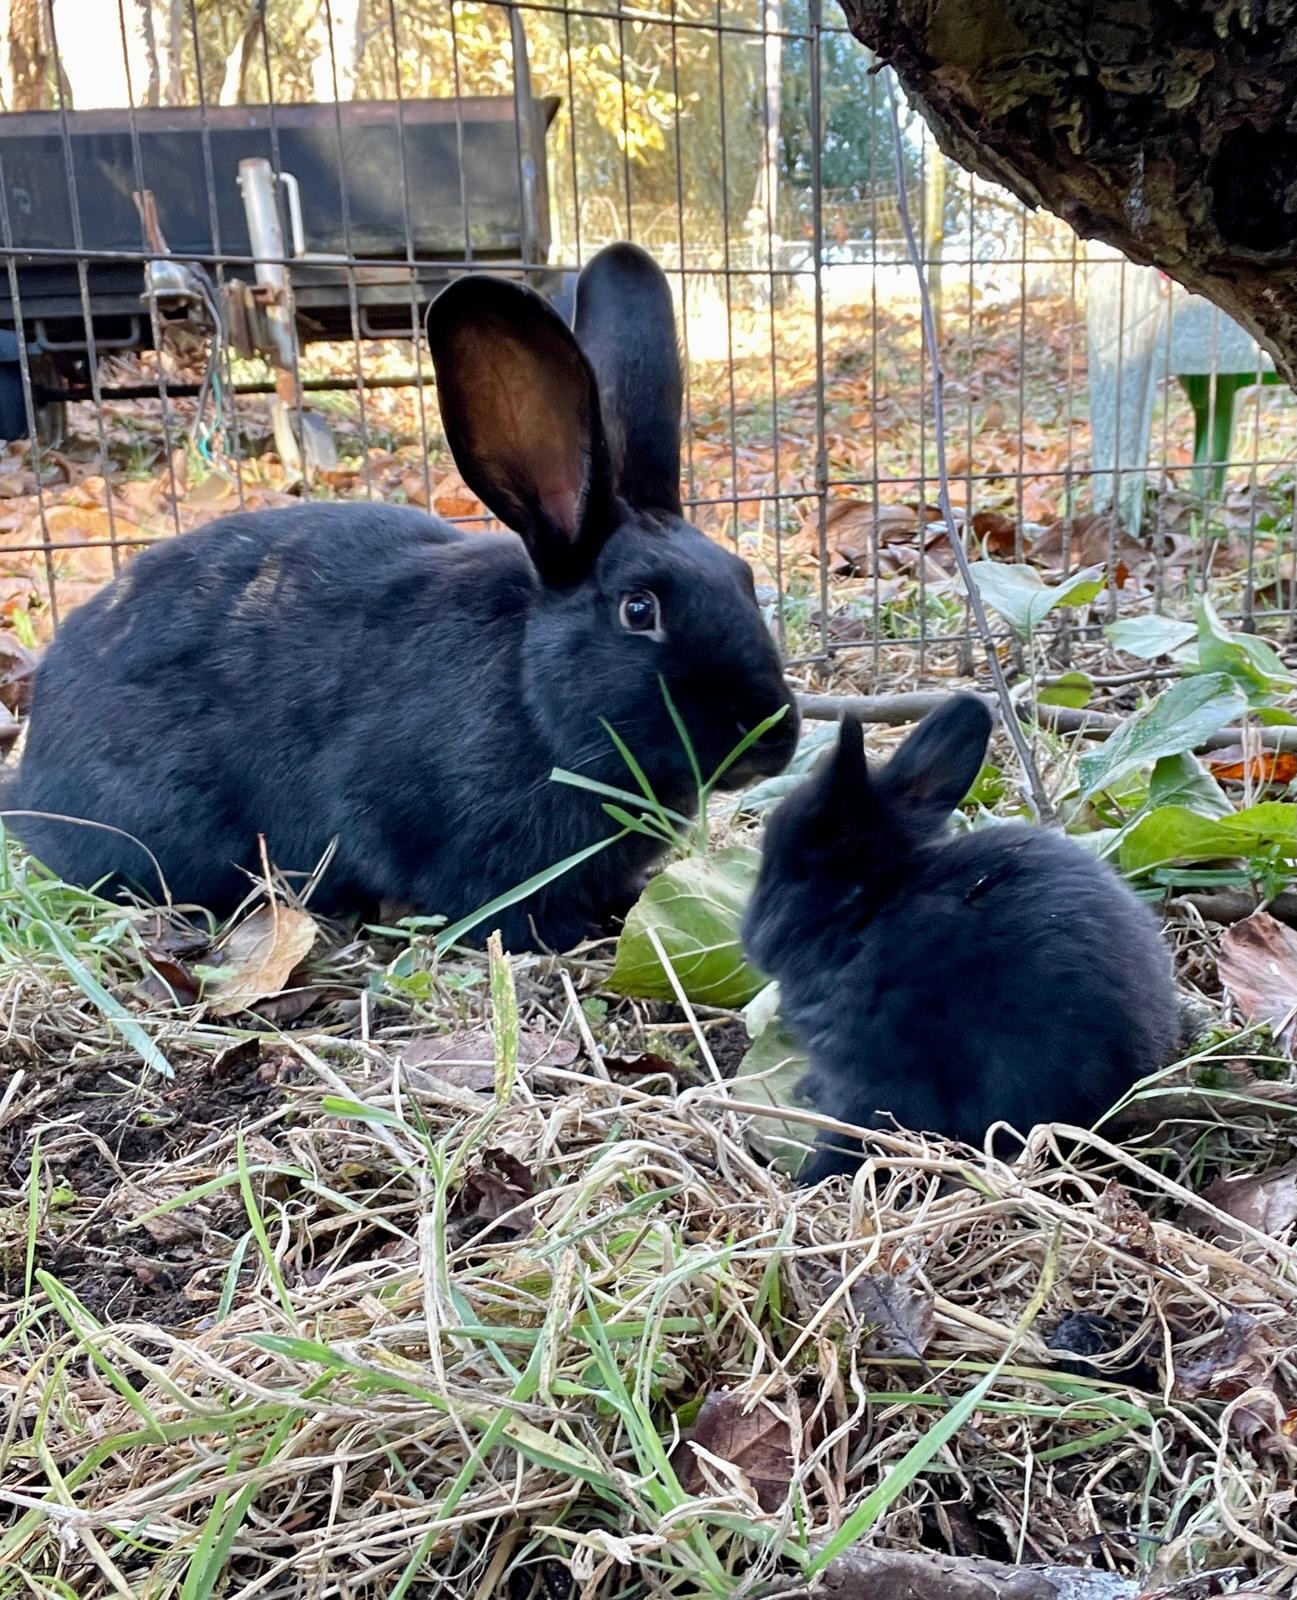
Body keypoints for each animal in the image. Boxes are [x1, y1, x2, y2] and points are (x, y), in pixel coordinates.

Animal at [741, 695, 1182, 1184]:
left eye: (790, 874)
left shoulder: (868, 1075)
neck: (865, 910)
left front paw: (808, 1180)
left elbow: (848, 1133)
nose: (750, 939)